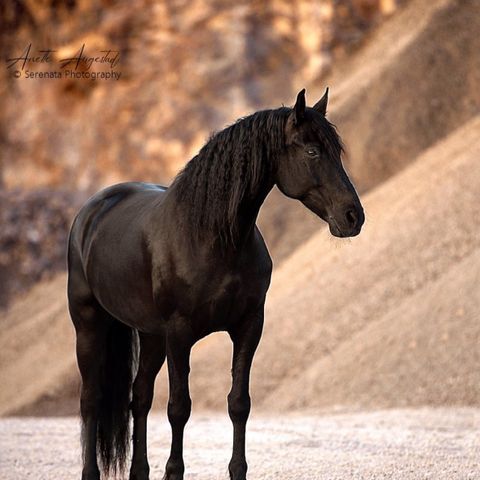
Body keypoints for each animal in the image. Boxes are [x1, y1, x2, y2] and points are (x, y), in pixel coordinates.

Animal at [68, 89, 364, 480]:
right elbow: (179, 407)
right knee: (91, 400)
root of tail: (92, 210)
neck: (212, 238)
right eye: (313, 151)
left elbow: (239, 403)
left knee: (140, 397)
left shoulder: (248, 326)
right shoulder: (180, 335)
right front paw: (174, 471)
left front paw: (237, 470)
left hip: (151, 336)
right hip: (90, 325)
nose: (353, 217)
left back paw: (140, 471)